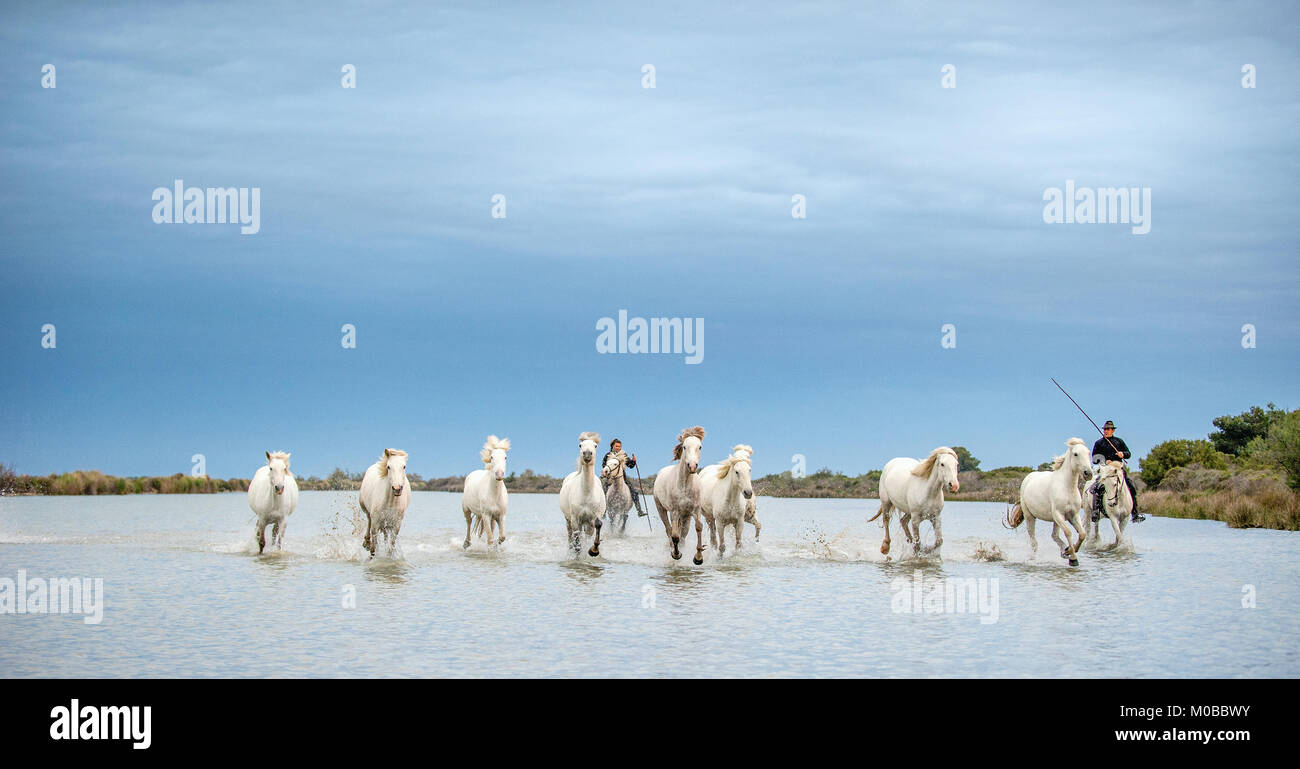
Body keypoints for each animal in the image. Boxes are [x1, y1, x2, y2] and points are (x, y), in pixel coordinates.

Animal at [655, 423, 707, 561]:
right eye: (684, 447)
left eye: (700, 447)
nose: (692, 466)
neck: (684, 486)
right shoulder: (674, 511)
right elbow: (674, 535)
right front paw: (676, 554)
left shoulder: (695, 510)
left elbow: (698, 527)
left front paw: (698, 558)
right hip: (661, 509)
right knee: (669, 529)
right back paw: (672, 549)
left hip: (685, 515)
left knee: (683, 533)